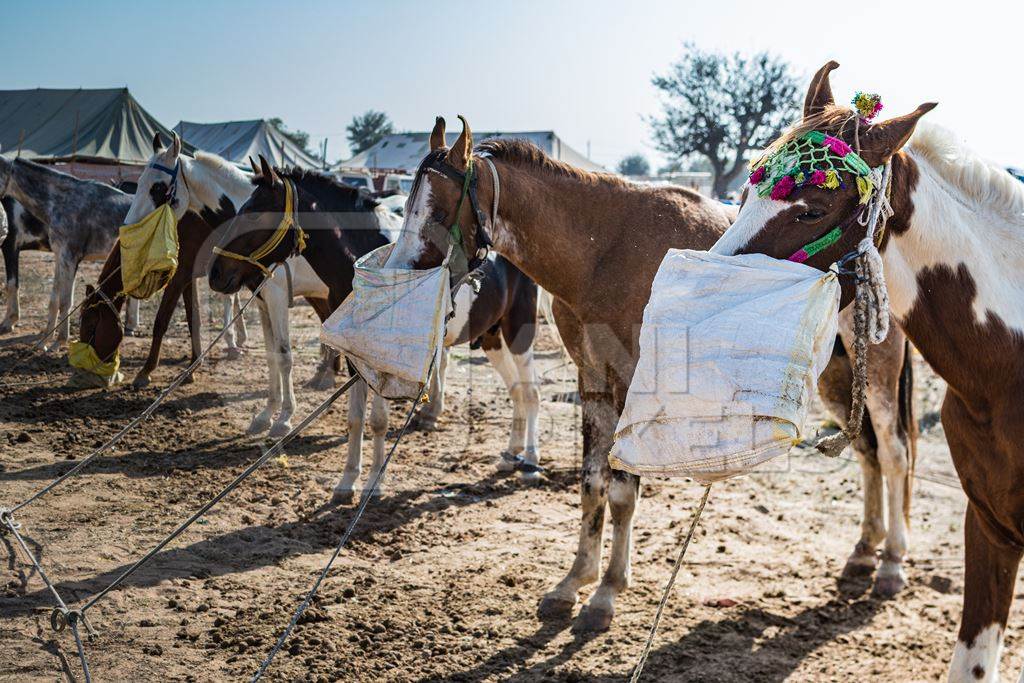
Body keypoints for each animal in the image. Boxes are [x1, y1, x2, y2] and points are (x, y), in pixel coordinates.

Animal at [380, 116, 917, 630]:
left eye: (438, 209)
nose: (402, 270)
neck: (604, 251)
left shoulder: (627, 384)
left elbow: (622, 491)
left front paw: (605, 594)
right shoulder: (594, 381)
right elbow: (592, 483)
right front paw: (573, 581)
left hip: (877, 377)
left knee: (893, 455)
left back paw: (892, 562)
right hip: (838, 378)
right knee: (868, 454)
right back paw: (863, 552)